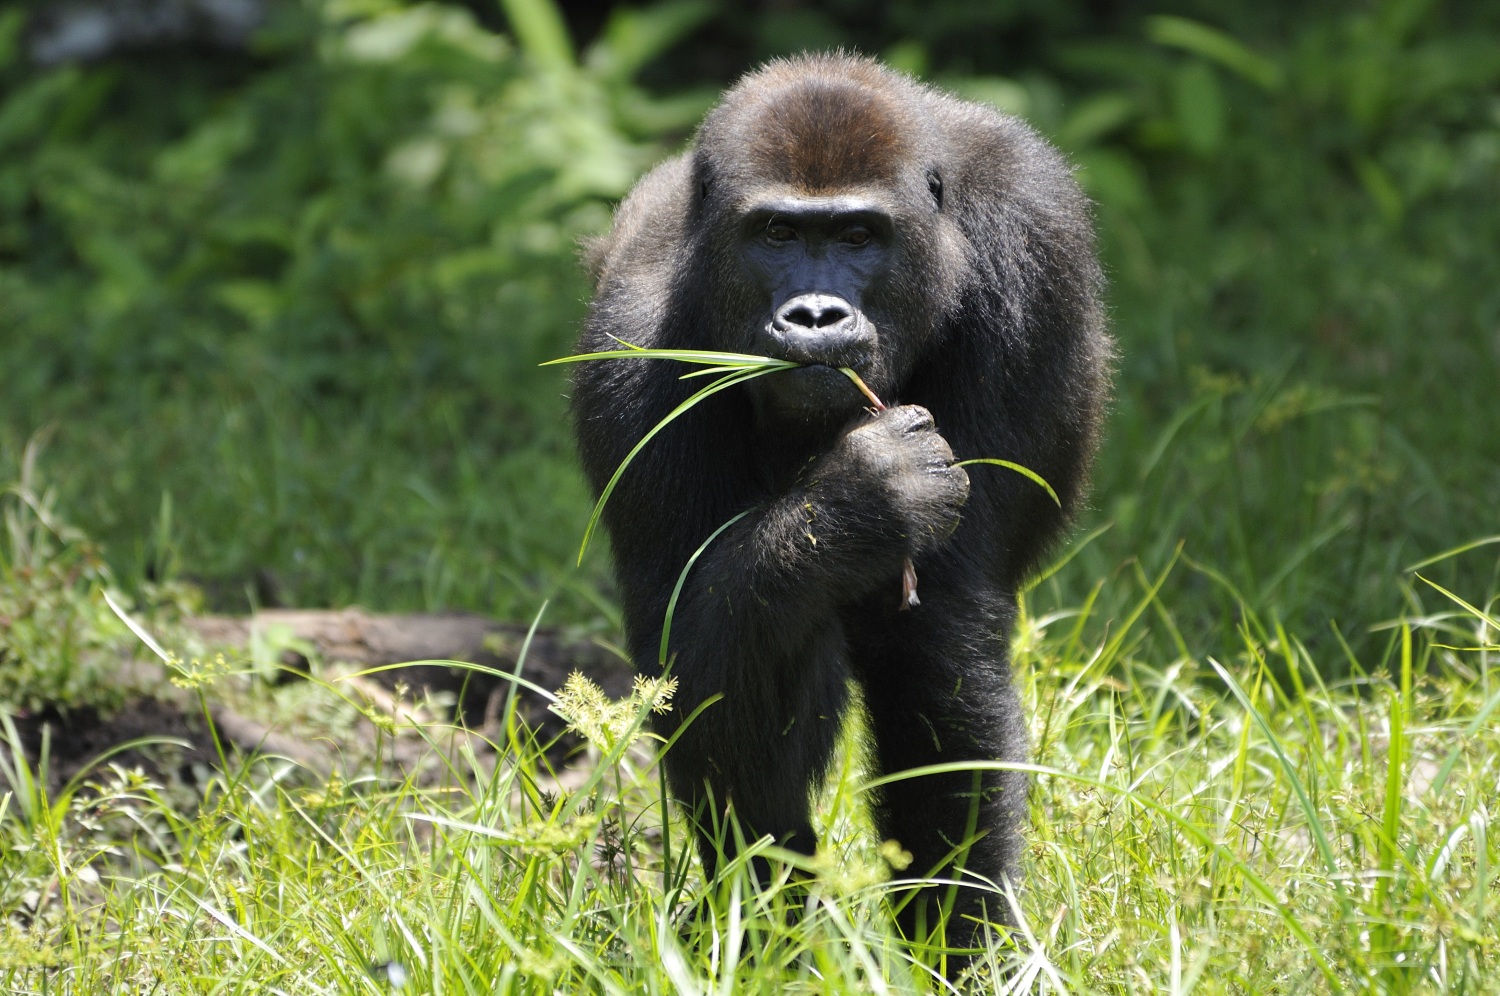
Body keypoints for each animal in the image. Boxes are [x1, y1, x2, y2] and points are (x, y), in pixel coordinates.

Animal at [567, 54, 1110, 960]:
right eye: (778, 235)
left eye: (858, 237)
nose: (816, 315)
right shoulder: (631, 343)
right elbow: (690, 652)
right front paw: (865, 498)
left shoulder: (1033, 255)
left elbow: (937, 643)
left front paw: (959, 948)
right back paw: (763, 933)